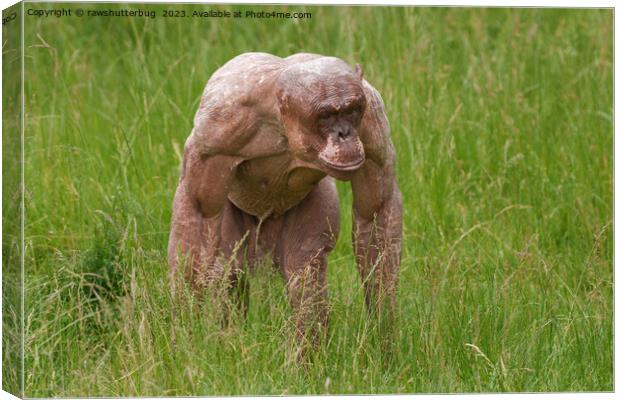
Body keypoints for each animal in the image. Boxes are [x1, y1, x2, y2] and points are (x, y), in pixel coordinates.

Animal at [167, 51, 404, 348]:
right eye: (326, 115)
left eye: (350, 110)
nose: (345, 133)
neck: (281, 123)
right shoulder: (219, 128)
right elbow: (199, 211)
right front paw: (185, 333)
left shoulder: (372, 120)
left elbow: (375, 213)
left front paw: (384, 335)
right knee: (228, 271)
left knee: (304, 279)